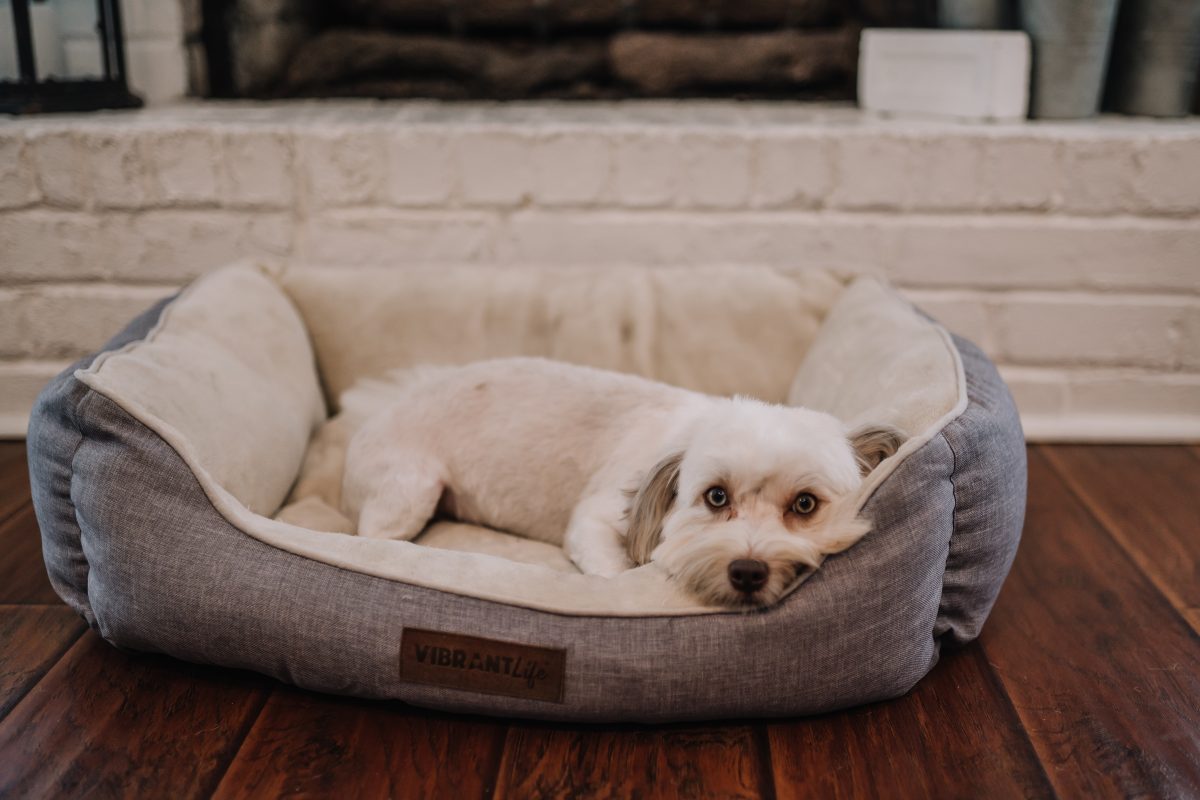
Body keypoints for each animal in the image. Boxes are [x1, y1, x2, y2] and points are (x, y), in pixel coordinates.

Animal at [336, 357, 902, 606]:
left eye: (805, 505)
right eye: (716, 496)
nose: (747, 570)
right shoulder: (595, 516)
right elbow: (609, 568)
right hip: (410, 489)